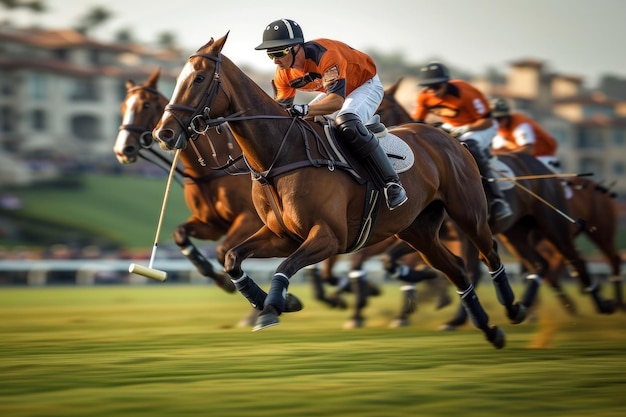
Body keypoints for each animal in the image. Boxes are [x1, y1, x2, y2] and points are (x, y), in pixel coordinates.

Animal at [151, 34, 528, 348]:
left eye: (198, 79)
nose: (163, 133)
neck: (280, 157)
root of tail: (450, 139)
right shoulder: (281, 235)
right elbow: (232, 258)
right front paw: (280, 301)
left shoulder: (328, 236)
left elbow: (286, 266)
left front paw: (274, 306)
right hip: (419, 231)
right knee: (458, 271)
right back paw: (489, 330)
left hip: (468, 214)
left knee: (489, 255)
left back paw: (513, 308)